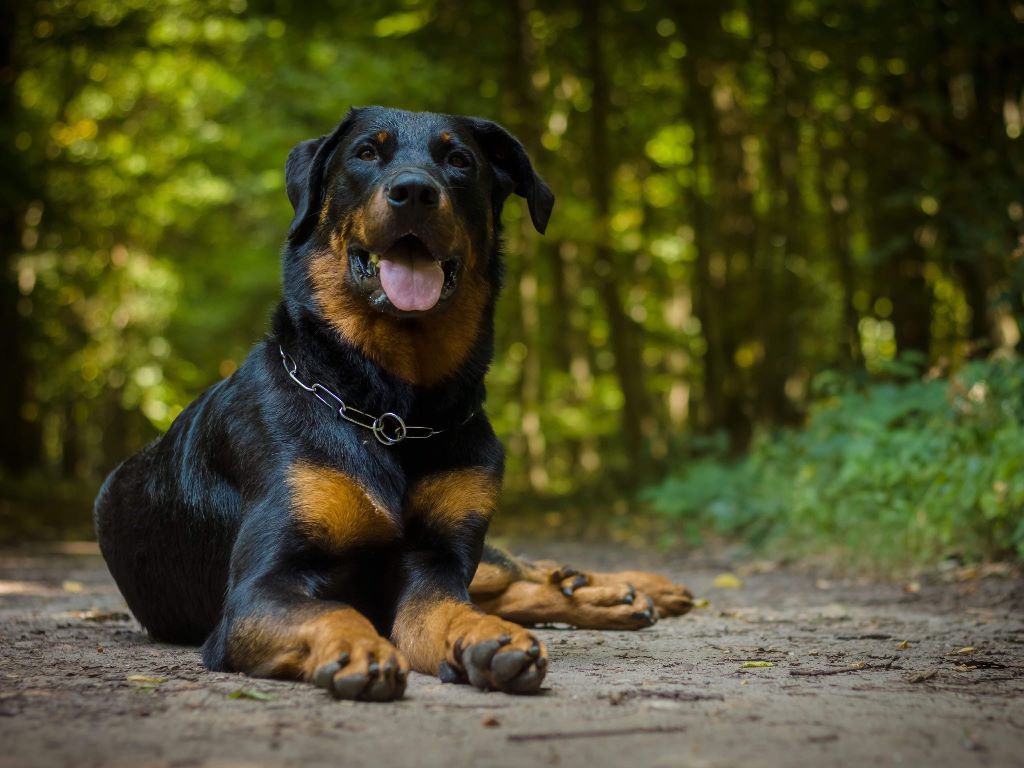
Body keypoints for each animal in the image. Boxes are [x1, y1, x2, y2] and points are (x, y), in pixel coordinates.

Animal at [94, 108, 696, 704]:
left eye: (460, 160)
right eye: (365, 153)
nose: (413, 192)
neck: (390, 412)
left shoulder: (437, 559)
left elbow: (448, 607)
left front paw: (489, 637)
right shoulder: (261, 585)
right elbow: (333, 608)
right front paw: (358, 648)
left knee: (517, 572)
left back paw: (633, 589)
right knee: (520, 582)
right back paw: (614, 594)